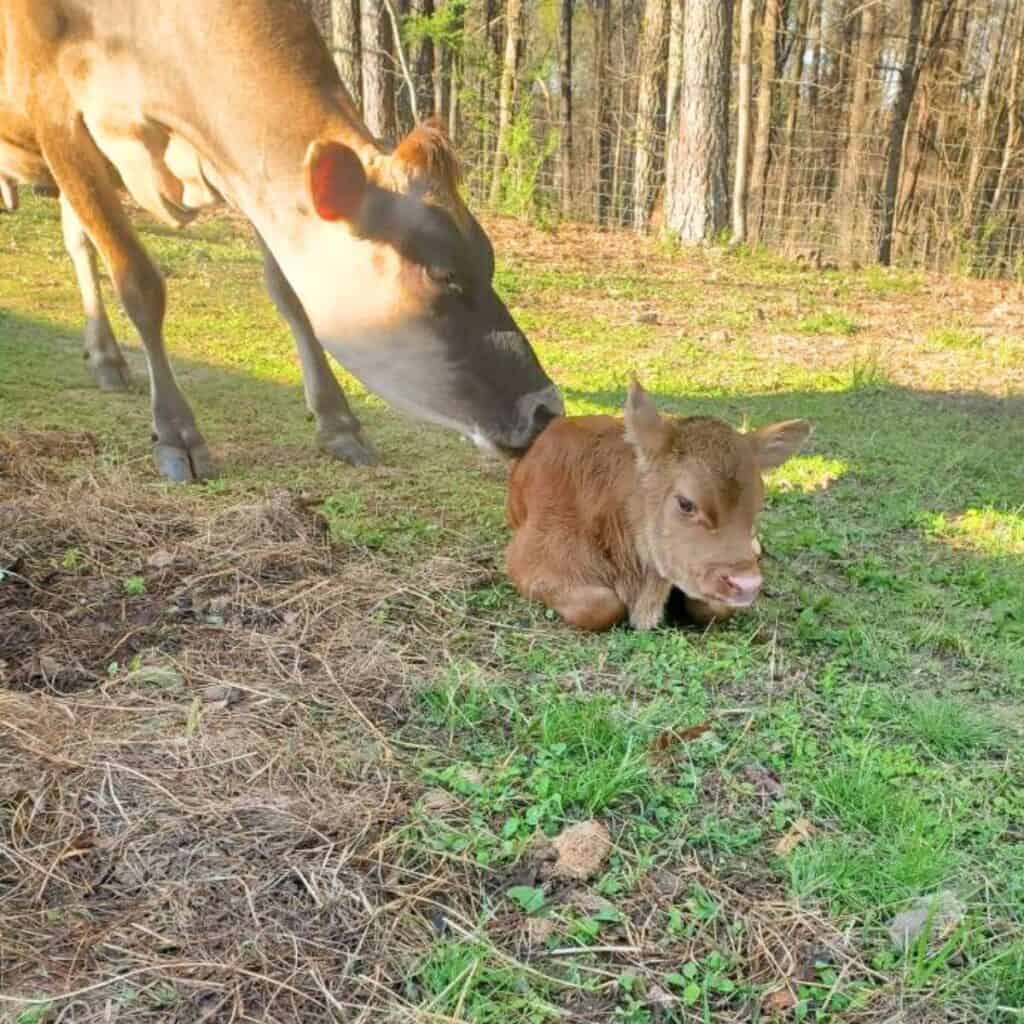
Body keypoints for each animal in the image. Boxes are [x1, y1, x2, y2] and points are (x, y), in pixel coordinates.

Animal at [0, 0, 561, 479]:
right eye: (444, 273)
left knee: (77, 242)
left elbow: (291, 295)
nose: (545, 409)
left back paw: (107, 358)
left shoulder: (239, 166)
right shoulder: (56, 116)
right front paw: (177, 432)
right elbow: (139, 283)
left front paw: (338, 423)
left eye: (489, 260)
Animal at [501, 380, 806, 626]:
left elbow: (714, 609)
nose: (747, 584)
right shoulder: (525, 559)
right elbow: (601, 607)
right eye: (685, 503)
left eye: (757, 506)